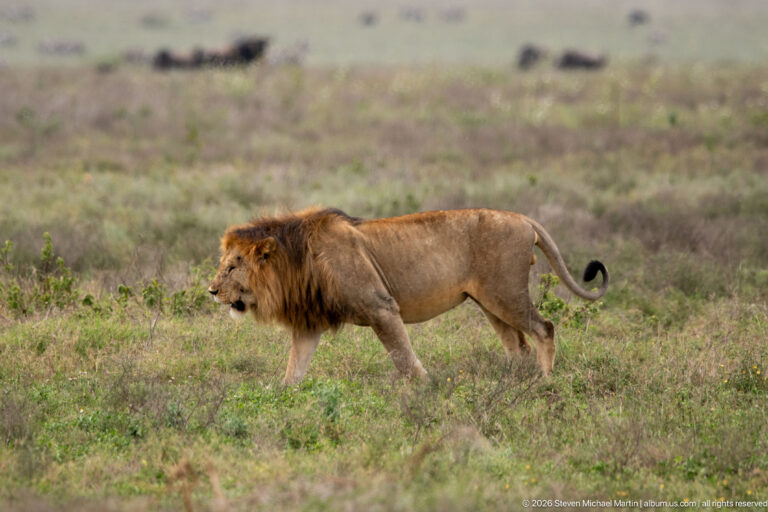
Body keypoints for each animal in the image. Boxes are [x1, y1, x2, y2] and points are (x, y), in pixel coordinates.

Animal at [208, 207, 608, 385]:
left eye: (231, 267)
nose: (211, 290)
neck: (297, 260)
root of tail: (523, 218)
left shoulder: (380, 306)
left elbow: (403, 356)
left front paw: (426, 388)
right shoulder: (309, 324)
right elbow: (294, 367)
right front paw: (283, 395)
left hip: (505, 294)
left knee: (544, 329)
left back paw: (545, 381)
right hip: (490, 303)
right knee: (518, 346)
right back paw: (514, 384)